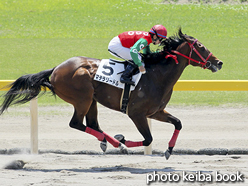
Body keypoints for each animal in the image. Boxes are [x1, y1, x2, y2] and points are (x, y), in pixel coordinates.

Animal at [0, 28, 223, 159]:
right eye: (201, 46)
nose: (219, 62)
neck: (157, 75)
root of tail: (55, 69)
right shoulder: (137, 113)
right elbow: (148, 139)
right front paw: (124, 141)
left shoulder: (155, 112)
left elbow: (178, 123)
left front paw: (169, 150)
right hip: (82, 98)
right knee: (76, 123)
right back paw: (117, 143)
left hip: (91, 100)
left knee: (92, 125)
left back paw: (109, 142)